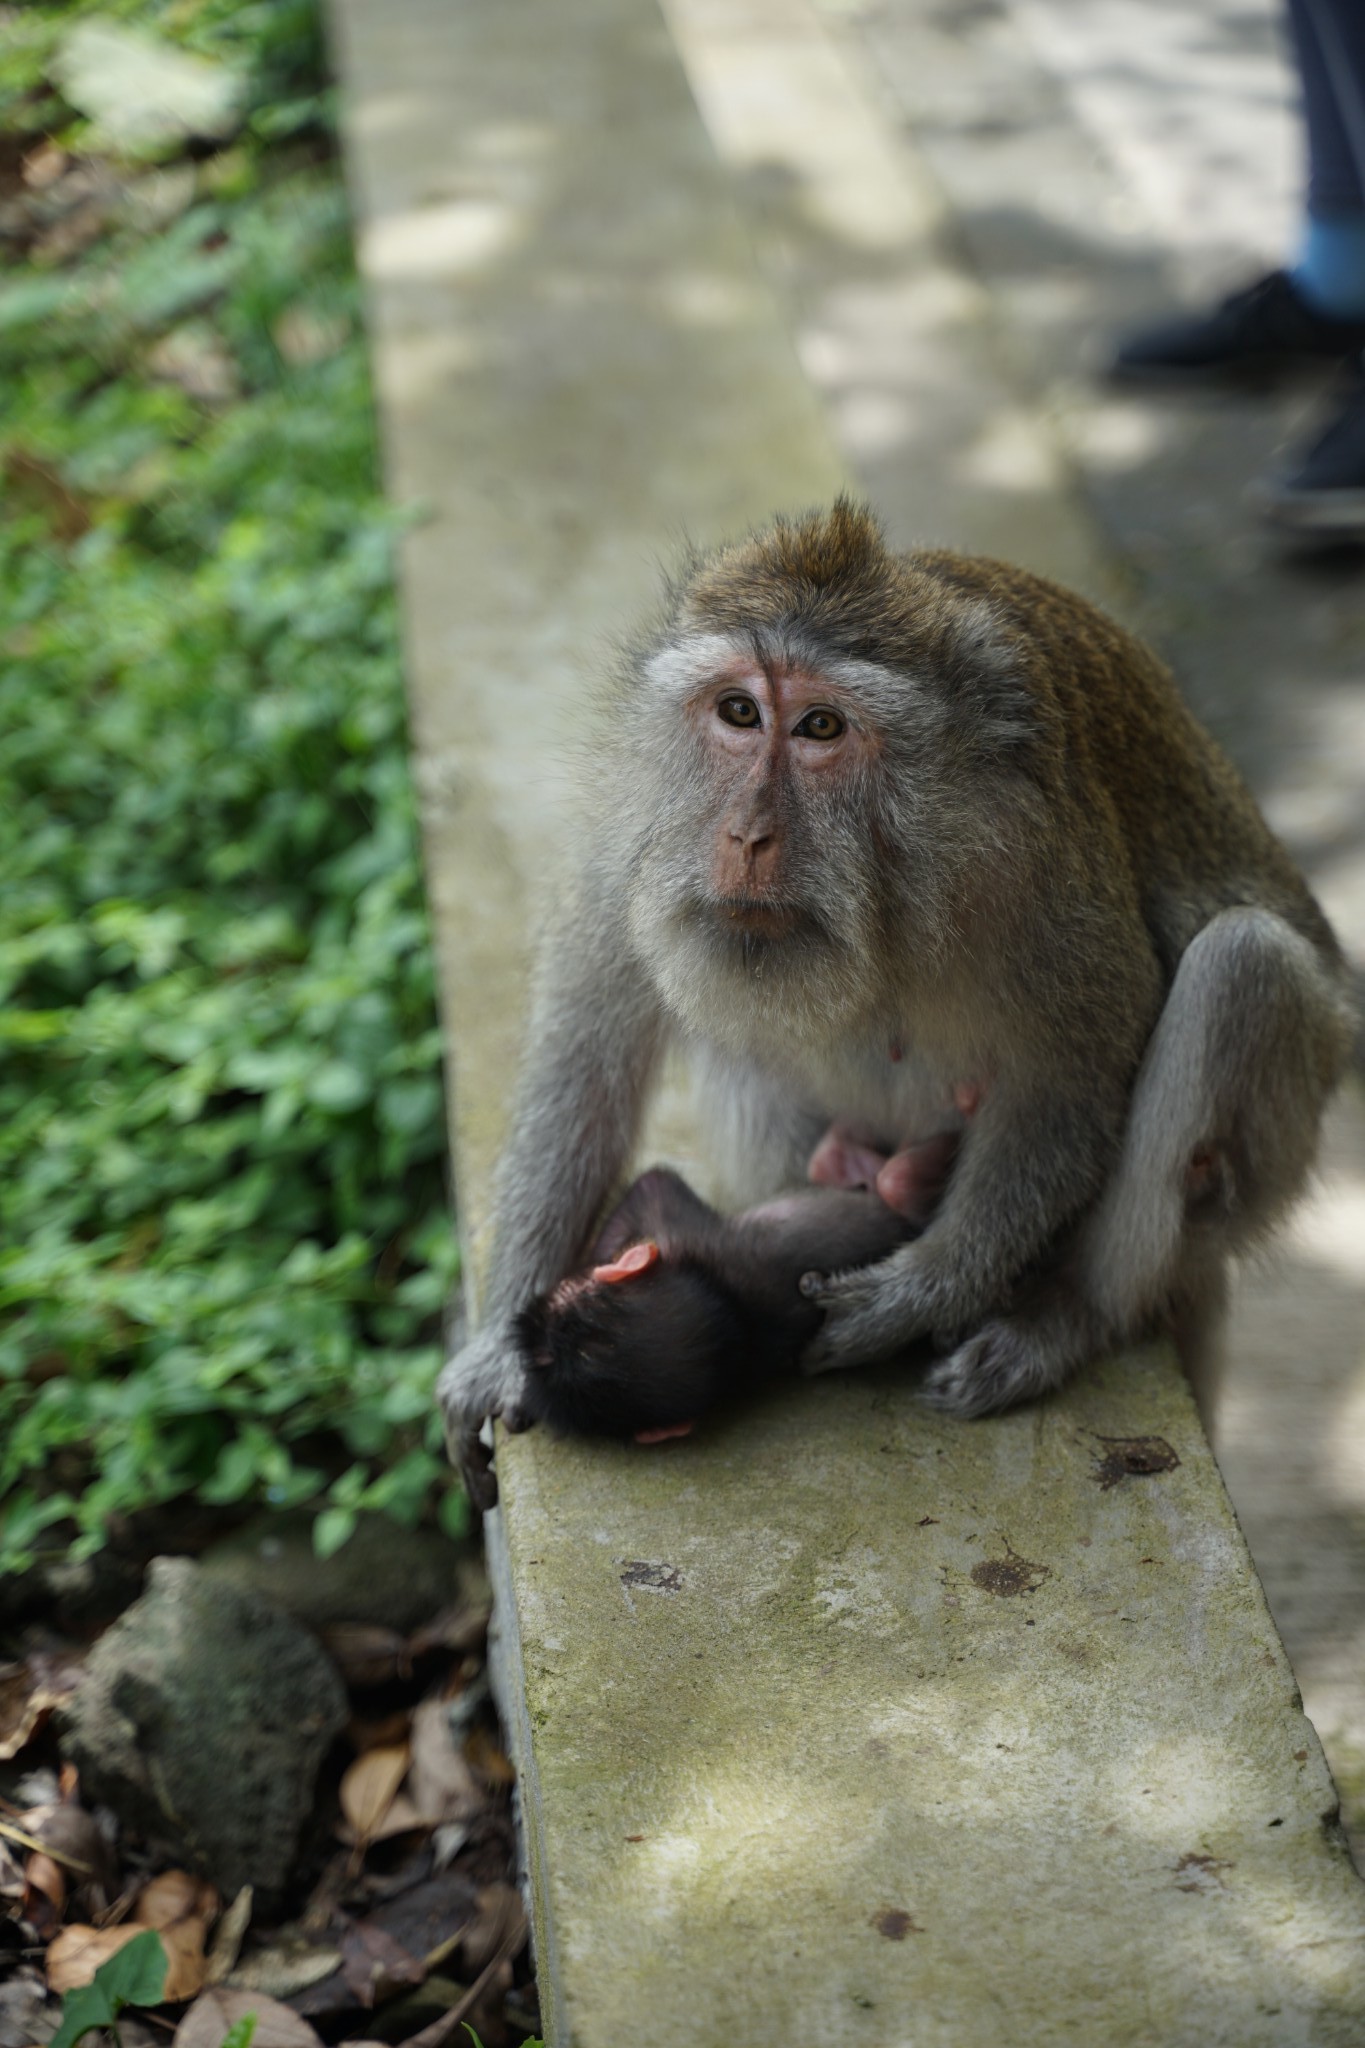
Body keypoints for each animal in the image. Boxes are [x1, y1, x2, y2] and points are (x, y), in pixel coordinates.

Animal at [444, 495, 1358, 1507]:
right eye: (737, 712)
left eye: (820, 727)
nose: (745, 836)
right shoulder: (636, 835)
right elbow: (587, 1057)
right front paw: (493, 1352)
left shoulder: (1038, 857)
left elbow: (1075, 1073)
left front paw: (917, 1295)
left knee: (1242, 966)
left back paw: (1060, 1320)